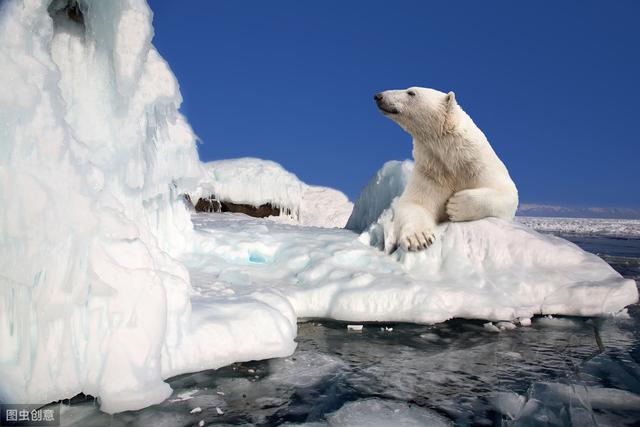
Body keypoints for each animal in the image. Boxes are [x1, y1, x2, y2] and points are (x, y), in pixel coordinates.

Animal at [376, 88, 520, 252]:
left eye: (411, 92)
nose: (379, 96)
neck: (453, 160)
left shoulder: (479, 166)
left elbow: (507, 193)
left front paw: (456, 205)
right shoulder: (432, 172)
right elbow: (415, 203)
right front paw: (419, 238)